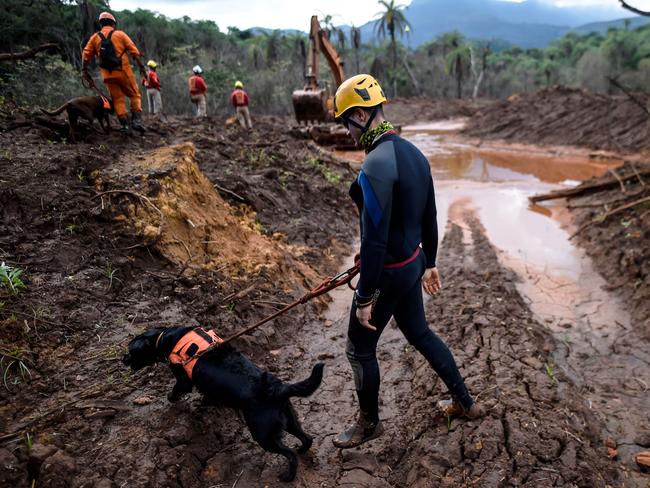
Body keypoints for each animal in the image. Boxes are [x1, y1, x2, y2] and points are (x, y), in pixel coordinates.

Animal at [122, 326, 324, 482]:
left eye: (131, 351)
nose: (122, 359)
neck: (164, 337)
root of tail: (276, 388)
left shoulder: (183, 381)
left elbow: (176, 391)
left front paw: (172, 399)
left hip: (264, 434)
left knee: (290, 454)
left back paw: (288, 476)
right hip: (289, 420)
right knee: (307, 438)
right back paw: (302, 450)